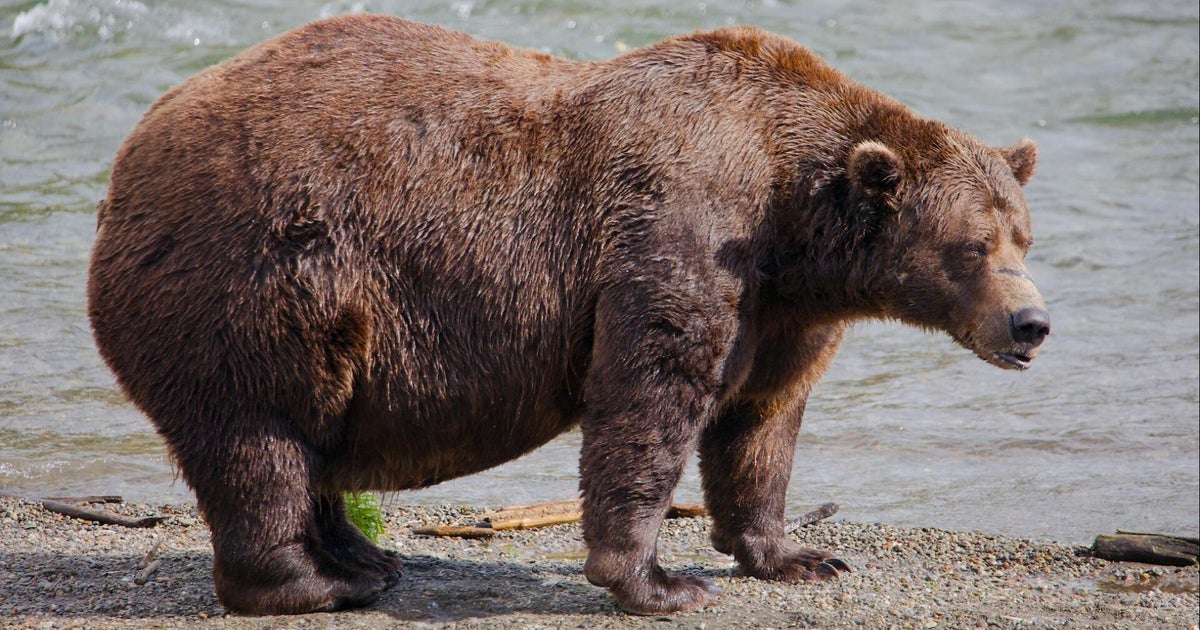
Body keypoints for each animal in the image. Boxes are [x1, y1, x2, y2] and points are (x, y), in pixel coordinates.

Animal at [87, 15, 1050, 616]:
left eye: (1023, 236)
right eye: (972, 246)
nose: (1031, 325)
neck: (793, 219)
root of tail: (127, 162)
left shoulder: (783, 309)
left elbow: (761, 421)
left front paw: (797, 554)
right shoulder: (682, 230)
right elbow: (651, 394)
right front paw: (659, 582)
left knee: (311, 438)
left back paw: (365, 557)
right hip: (255, 277)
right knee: (261, 438)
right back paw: (316, 582)